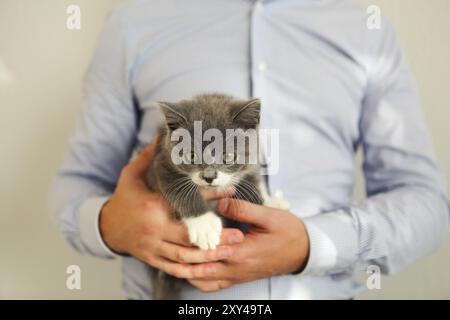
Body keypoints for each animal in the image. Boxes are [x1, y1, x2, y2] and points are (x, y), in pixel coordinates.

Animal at [145, 93, 288, 300]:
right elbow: (180, 189)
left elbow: (252, 181)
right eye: (191, 156)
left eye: (228, 156)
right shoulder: (159, 165)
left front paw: (270, 203)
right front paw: (203, 224)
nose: (209, 176)